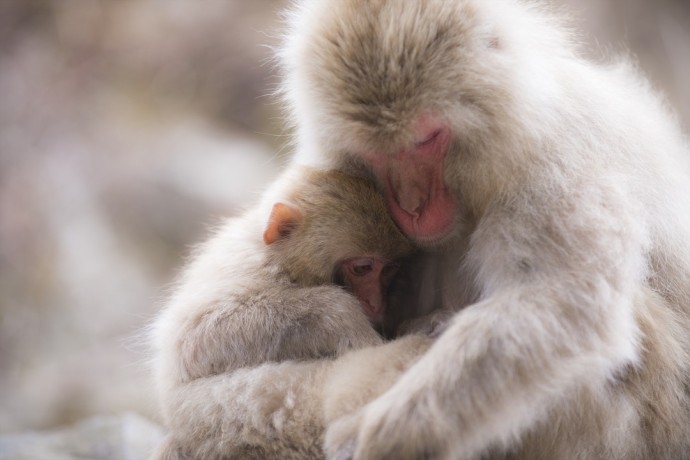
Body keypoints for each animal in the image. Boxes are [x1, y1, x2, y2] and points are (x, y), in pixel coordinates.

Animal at [152, 167, 414, 458]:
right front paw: (340, 315)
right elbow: (195, 339)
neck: (281, 261)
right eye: (363, 268)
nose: (375, 302)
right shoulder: (248, 268)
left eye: (388, 270)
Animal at [278, 0, 688, 460]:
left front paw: (382, 434)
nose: (413, 206)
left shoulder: (553, 161)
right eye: (377, 153)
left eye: (427, 139)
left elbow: (560, 303)